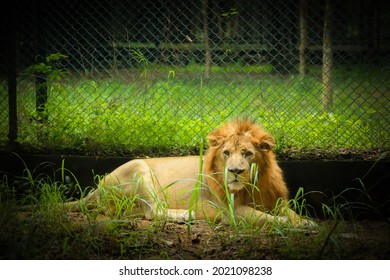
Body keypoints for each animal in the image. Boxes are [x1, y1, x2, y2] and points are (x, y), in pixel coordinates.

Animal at [65, 120, 312, 228]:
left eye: (248, 153)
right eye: (226, 153)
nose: (235, 171)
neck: (253, 185)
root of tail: (95, 190)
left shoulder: (274, 200)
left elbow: (290, 212)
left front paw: (306, 221)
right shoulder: (232, 211)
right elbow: (268, 218)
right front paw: (299, 224)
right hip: (138, 168)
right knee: (153, 211)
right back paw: (187, 214)